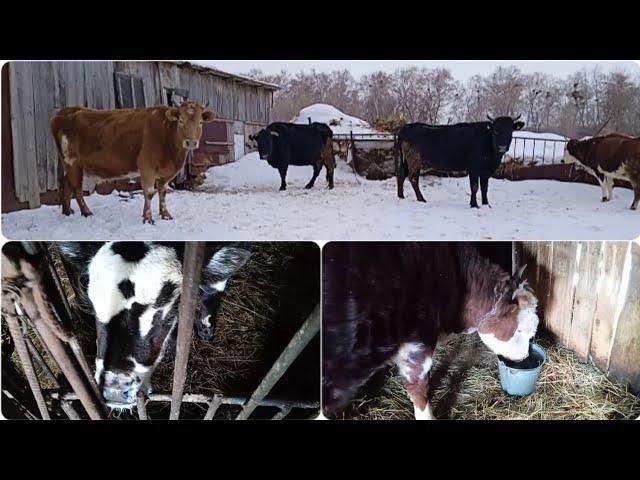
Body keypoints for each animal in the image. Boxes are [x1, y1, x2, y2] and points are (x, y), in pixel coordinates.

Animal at [396, 116, 524, 208]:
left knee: (401, 175)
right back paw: (421, 199)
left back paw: (401, 196)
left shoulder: (485, 172)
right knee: (413, 178)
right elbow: (475, 187)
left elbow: (484, 188)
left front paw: (486, 204)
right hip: (414, 159)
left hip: (406, 160)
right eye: (496, 131)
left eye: (510, 131)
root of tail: (405, 128)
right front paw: (474, 204)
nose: (502, 147)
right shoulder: (474, 169)